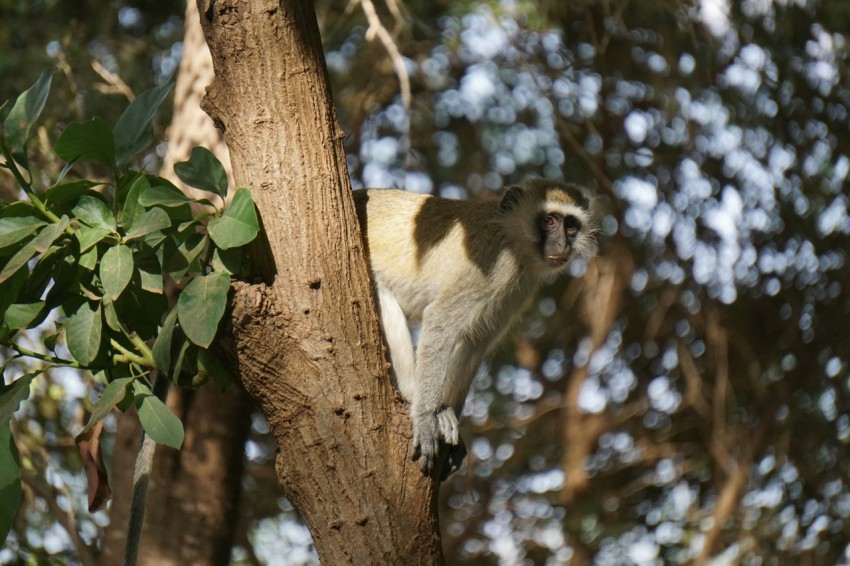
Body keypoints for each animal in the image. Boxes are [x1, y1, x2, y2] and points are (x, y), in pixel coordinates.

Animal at [352, 180, 596, 478]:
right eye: (549, 220)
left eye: (571, 225)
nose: (562, 244)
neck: (510, 235)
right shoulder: (493, 265)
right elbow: (440, 321)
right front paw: (426, 417)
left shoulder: (518, 284)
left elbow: (474, 343)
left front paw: (449, 415)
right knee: (381, 292)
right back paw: (411, 394)